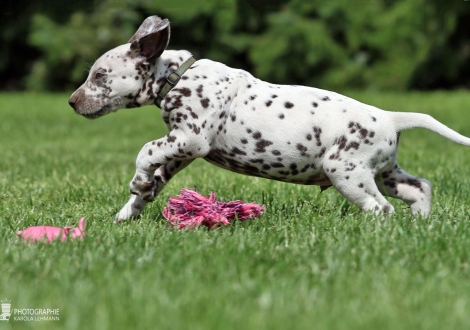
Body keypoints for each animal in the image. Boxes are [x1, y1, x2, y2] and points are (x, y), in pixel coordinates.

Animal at [68, 16, 470, 222]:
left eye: (100, 76)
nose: (72, 102)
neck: (178, 76)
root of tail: (390, 117)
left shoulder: (190, 139)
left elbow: (146, 151)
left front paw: (138, 182)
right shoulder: (181, 149)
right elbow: (158, 172)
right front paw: (130, 209)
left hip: (348, 173)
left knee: (380, 209)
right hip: (384, 173)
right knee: (419, 188)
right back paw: (421, 224)